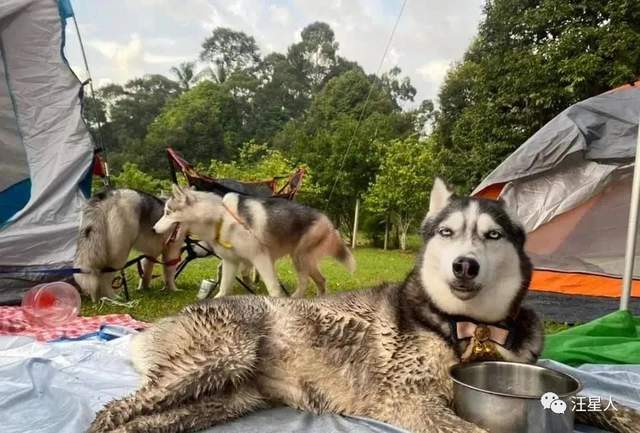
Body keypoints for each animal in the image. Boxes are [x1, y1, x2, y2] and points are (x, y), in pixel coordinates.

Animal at [153, 184, 358, 298]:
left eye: (168, 212)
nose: (153, 229)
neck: (219, 217)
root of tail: (327, 219)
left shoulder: (261, 259)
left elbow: (273, 288)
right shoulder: (230, 262)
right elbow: (224, 287)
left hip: (300, 260)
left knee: (305, 282)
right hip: (302, 260)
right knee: (321, 280)